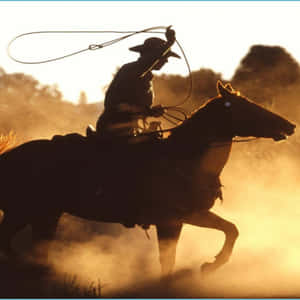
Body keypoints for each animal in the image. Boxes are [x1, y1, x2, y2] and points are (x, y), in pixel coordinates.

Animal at [0, 81, 296, 276]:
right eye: (248, 107)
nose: (290, 125)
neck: (185, 160)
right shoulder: (171, 220)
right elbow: (169, 259)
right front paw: (209, 266)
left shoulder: (189, 217)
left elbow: (230, 229)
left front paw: (211, 265)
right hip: (29, 212)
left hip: (42, 214)